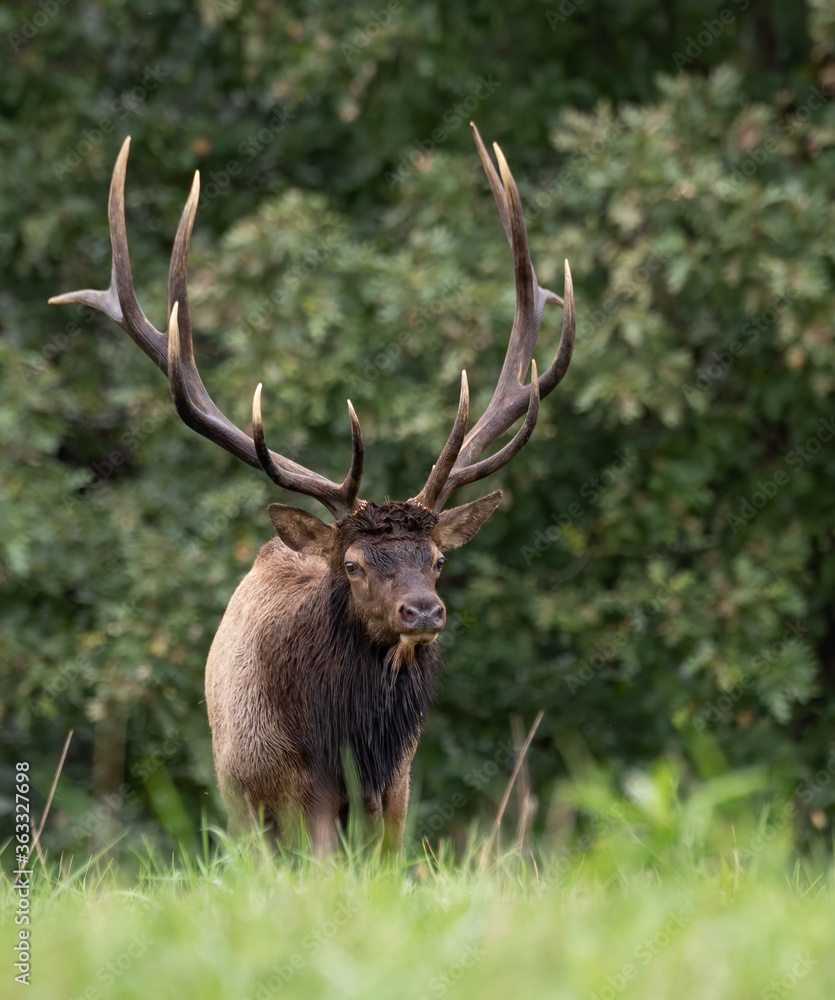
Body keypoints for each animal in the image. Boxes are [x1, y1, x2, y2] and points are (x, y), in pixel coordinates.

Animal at [49, 123, 575, 852]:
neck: (346, 743)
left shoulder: (395, 787)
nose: (422, 613)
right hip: (236, 793)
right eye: (352, 564)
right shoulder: (290, 790)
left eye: (438, 559)